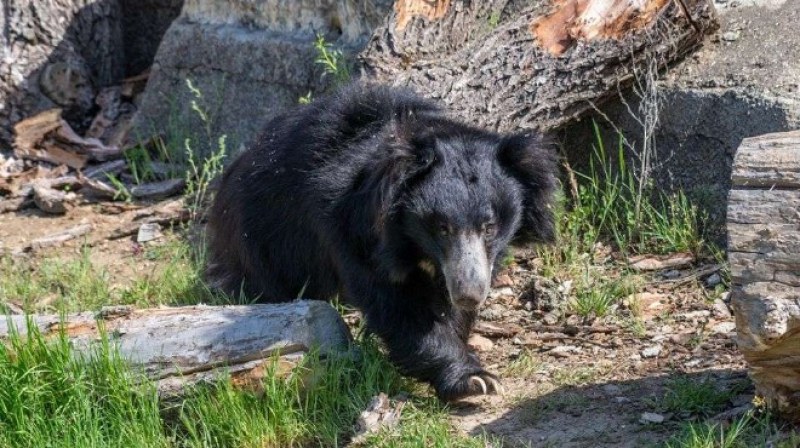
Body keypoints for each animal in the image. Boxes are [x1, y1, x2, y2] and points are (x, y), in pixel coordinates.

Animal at [206, 84, 556, 402]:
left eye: (489, 226)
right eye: (442, 228)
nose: (469, 294)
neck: (413, 245)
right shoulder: (353, 229)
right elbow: (398, 307)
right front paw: (476, 380)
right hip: (264, 238)